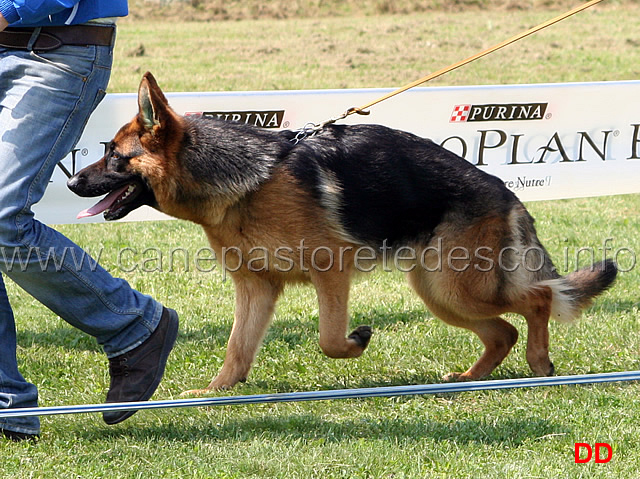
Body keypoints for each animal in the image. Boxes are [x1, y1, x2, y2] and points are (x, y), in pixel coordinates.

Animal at [67, 72, 616, 394]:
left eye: (115, 156)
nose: (71, 182)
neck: (249, 181)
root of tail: (506, 192)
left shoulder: (331, 272)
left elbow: (330, 339)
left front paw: (357, 341)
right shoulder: (256, 287)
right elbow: (237, 348)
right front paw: (215, 393)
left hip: (455, 286)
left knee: (539, 299)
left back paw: (540, 363)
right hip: (439, 291)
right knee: (504, 330)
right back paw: (469, 380)